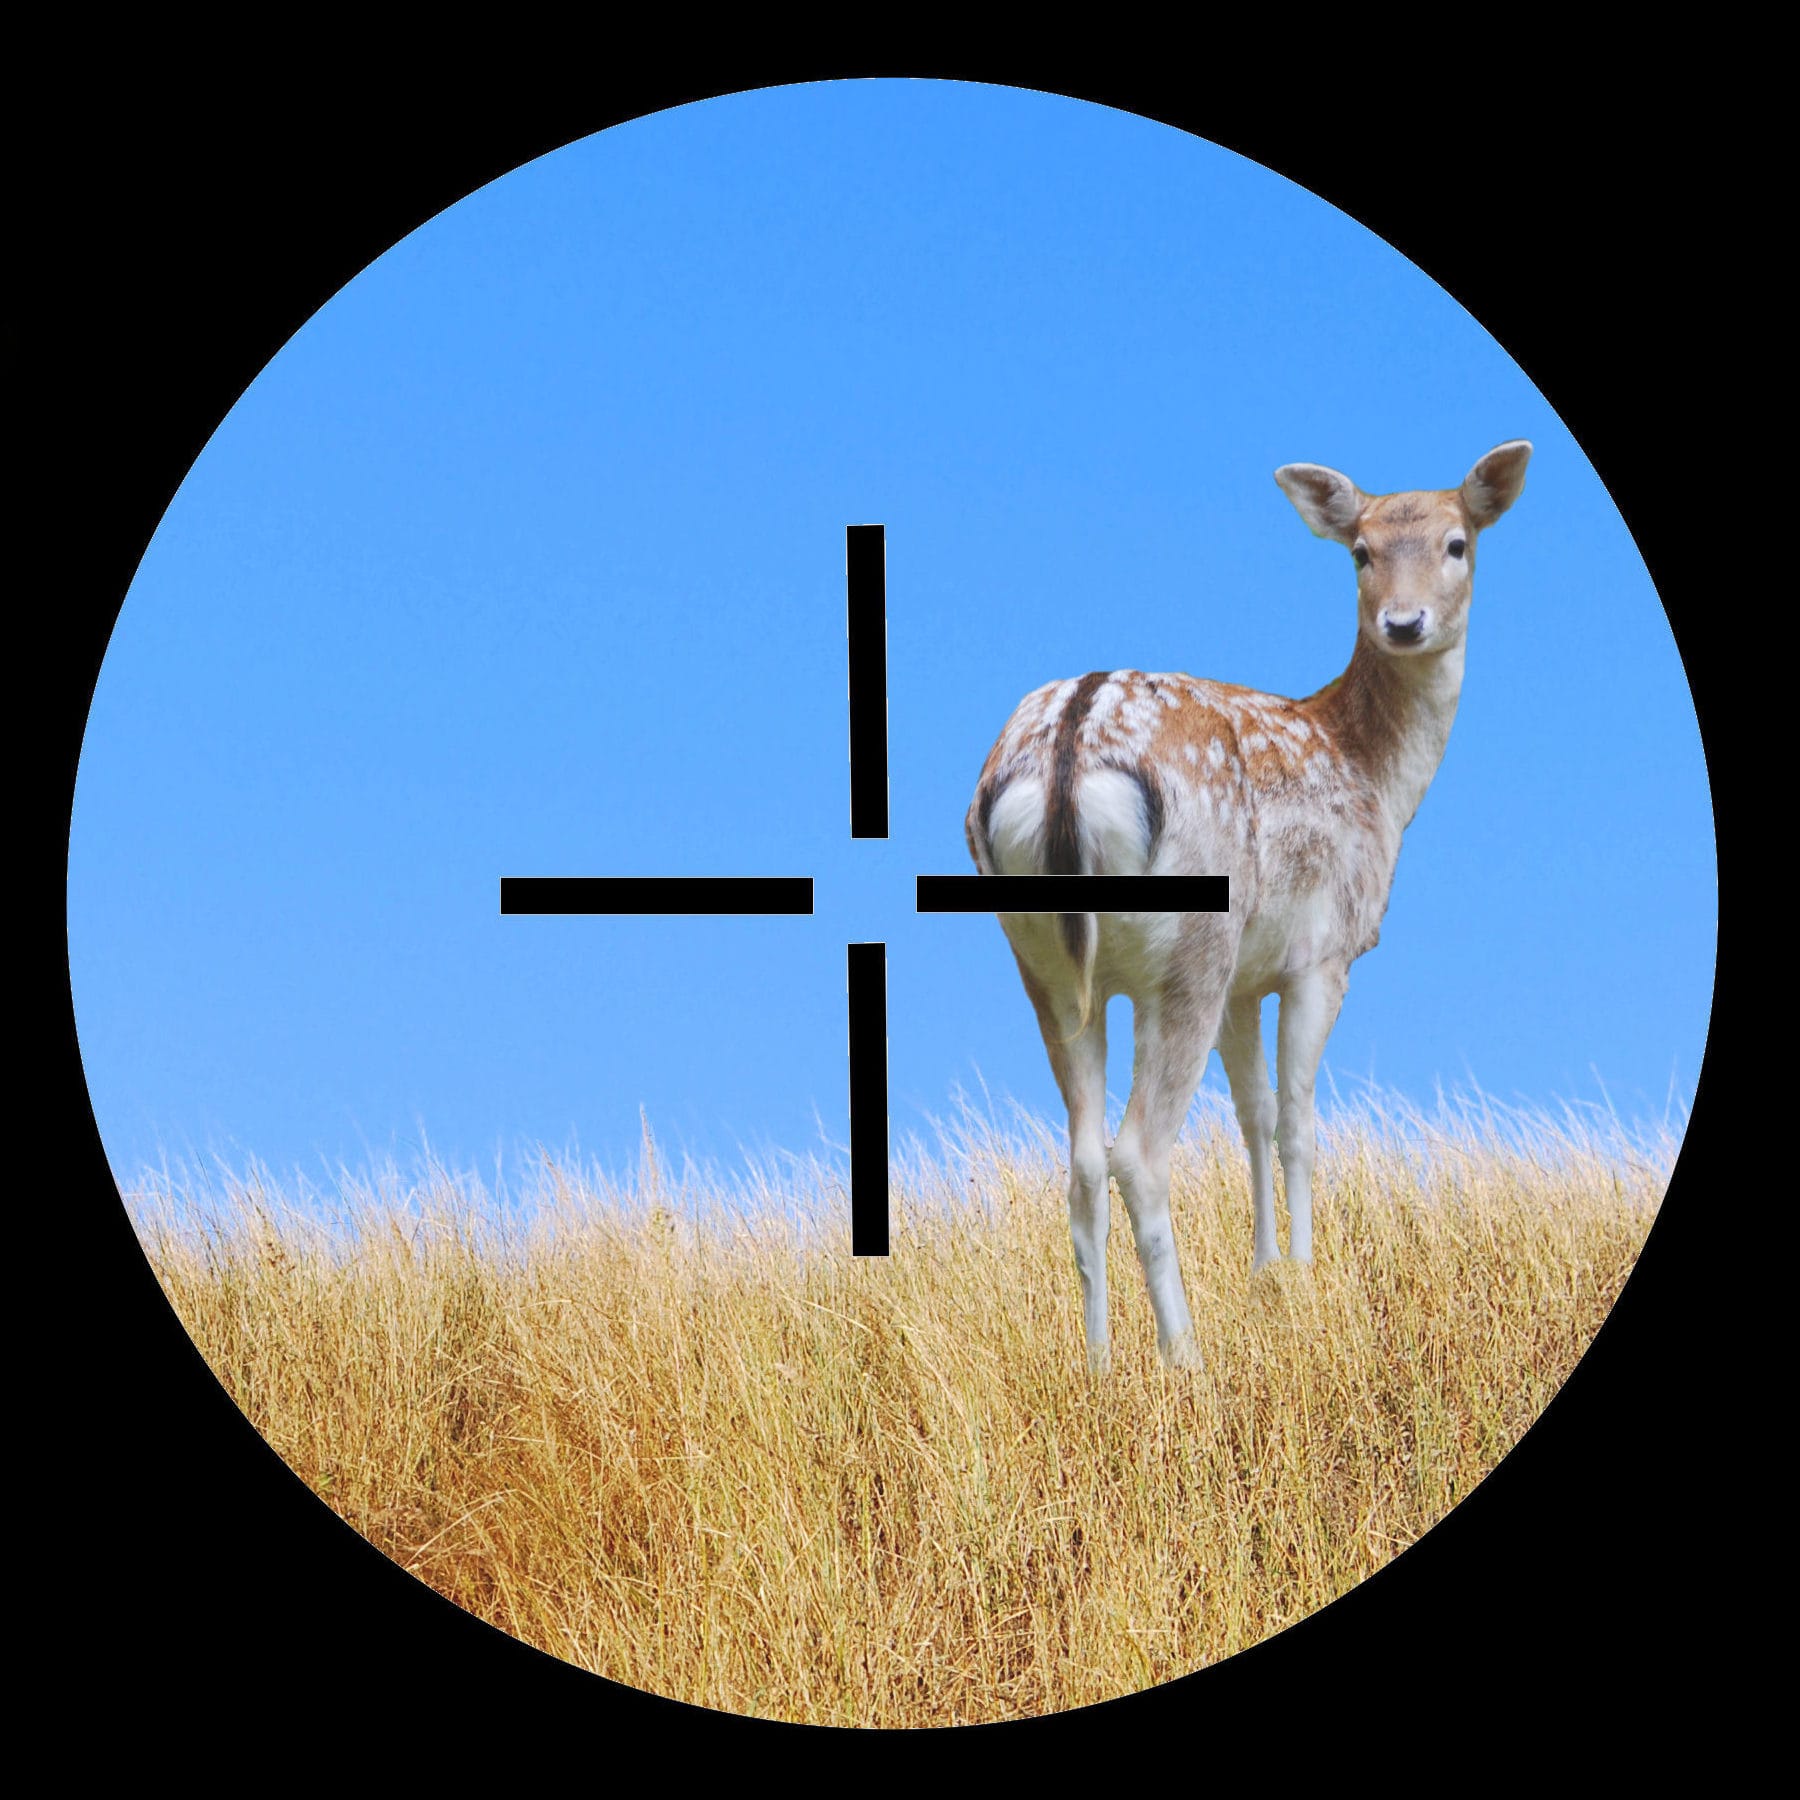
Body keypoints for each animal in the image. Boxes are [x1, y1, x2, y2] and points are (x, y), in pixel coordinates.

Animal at [964, 442, 1532, 1373]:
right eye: (1360, 551)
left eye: (1457, 543)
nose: (1404, 624)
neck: (1377, 781)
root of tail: (1067, 755)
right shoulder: (1320, 956)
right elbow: (1298, 1118)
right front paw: (1303, 1273)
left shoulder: (1245, 980)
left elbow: (1254, 1114)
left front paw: (1265, 1268)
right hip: (1188, 953)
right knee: (1137, 1152)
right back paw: (1184, 1358)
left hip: (1039, 962)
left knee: (1081, 1158)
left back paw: (1099, 1363)